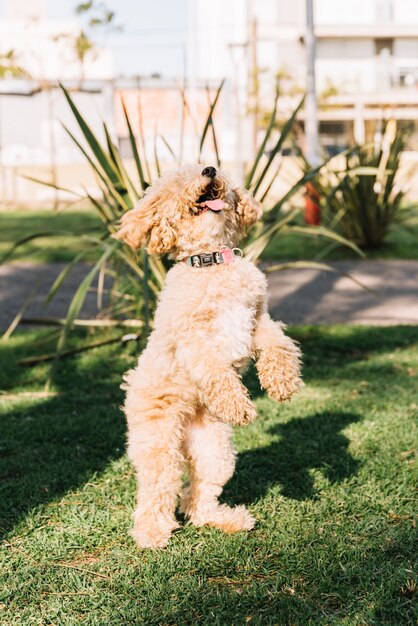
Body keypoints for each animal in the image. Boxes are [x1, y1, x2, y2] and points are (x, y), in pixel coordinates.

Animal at [115, 162, 304, 544]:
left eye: (206, 165)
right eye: (178, 180)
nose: (209, 169)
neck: (213, 263)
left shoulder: (258, 318)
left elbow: (278, 345)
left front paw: (282, 383)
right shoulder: (193, 340)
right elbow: (216, 371)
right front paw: (237, 405)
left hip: (215, 452)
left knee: (197, 497)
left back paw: (224, 520)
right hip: (160, 445)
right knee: (157, 491)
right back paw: (151, 535)